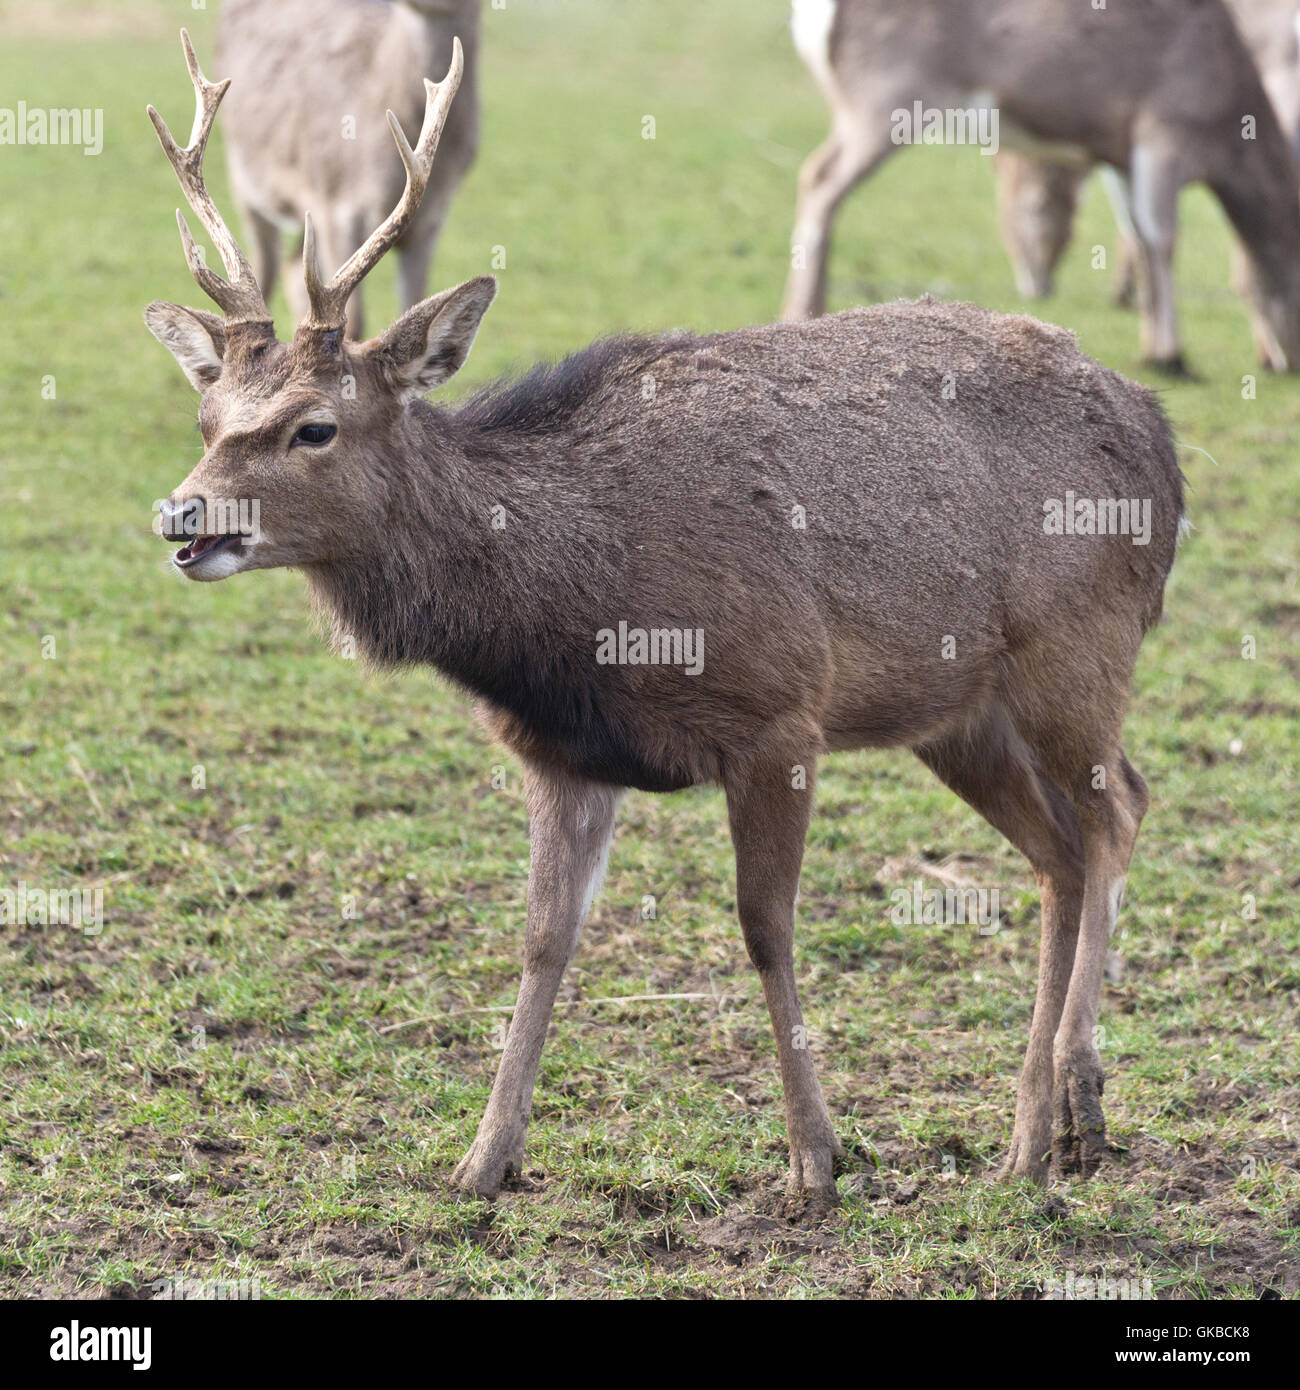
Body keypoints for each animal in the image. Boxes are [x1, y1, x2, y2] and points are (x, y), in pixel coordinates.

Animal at [213, 0, 480, 340]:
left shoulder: (433, 217)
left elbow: (416, 305)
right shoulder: (332, 200)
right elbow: (353, 321)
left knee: (291, 270)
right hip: (246, 181)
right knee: (264, 272)